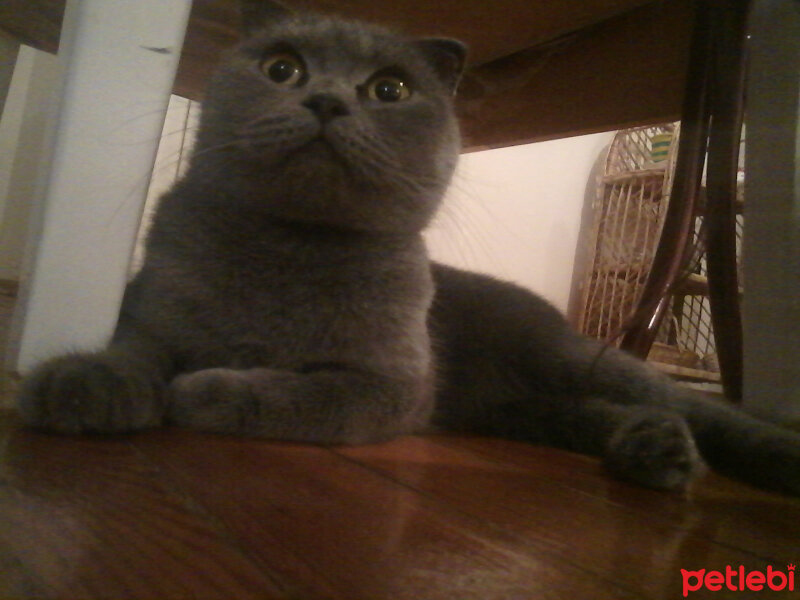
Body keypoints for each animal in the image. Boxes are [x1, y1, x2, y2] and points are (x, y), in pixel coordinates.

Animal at [17, 1, 800, 496]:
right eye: (282, 69)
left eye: (389, 89)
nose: (328, 100)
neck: (290, 248)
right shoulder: (149, 309)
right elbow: (133, 347)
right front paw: (84, 382)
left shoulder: (389, 383)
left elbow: (301, 393)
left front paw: (206, 389)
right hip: (515, 409)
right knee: (588, 413)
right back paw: (653, 448)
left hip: (570, 357)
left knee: (696, 407)